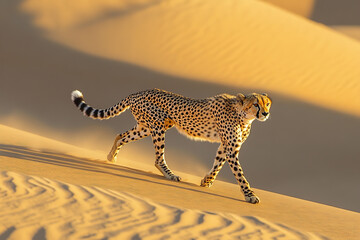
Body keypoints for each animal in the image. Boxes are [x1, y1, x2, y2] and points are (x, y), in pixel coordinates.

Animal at [71, 88, 272, 202]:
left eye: (267, 103)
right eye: (256, 104)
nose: (266, 113)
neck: (243, 115)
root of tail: (138, 92)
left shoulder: (226, 146)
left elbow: (217, 164)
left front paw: (206, 181)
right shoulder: (231, 149)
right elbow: (240, 174)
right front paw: (250, 195)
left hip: (147, 126)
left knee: (121, 136)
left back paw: (111, 158)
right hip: (159, 124)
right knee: (158, 158)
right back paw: (170, 174)